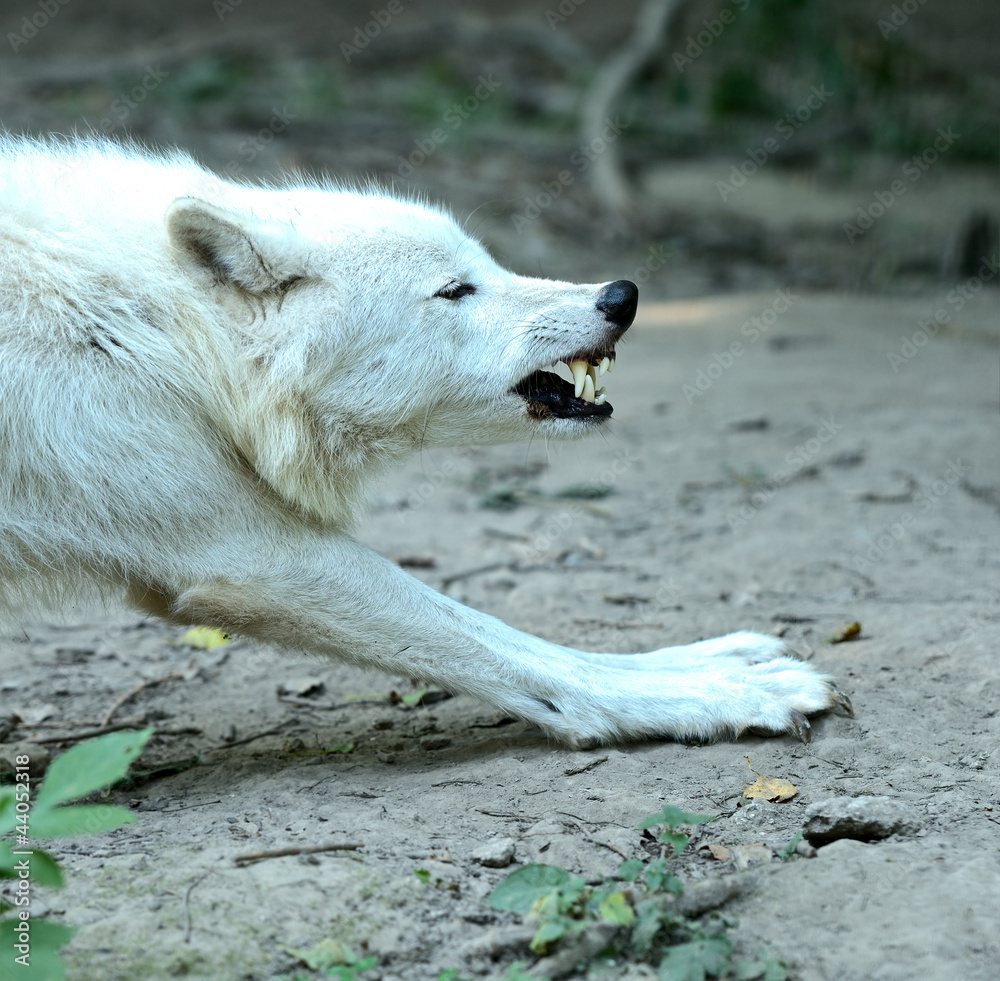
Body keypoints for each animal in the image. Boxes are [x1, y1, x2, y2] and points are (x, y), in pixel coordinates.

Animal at [0, 137, 849, 747]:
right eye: (454, 290)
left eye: (487, 263)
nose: (621, 296)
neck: (159, 327)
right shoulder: (248, 554)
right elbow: (494, 642)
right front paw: (719, 693)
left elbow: (503, 631)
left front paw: (711, 661)